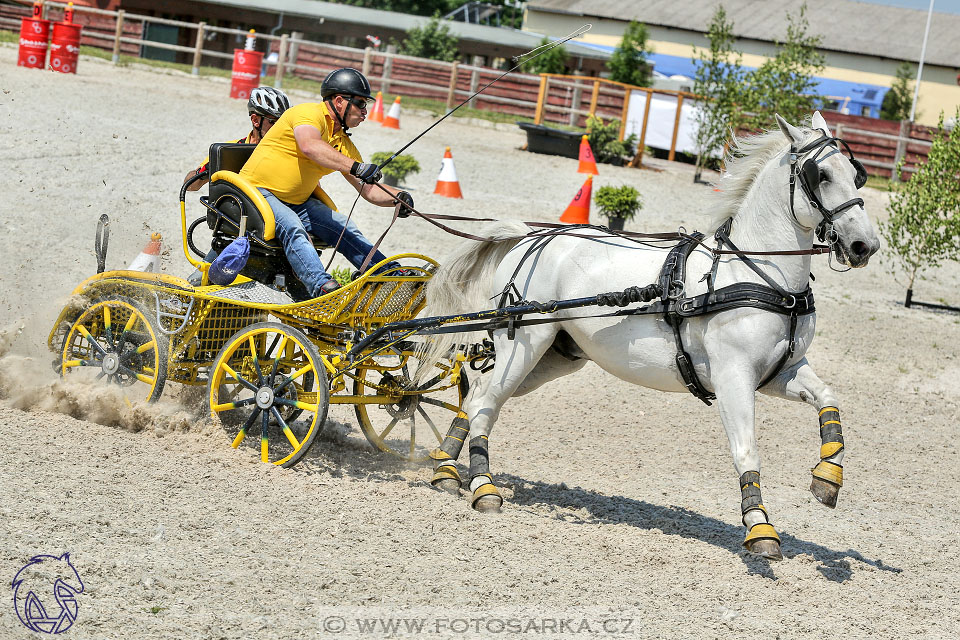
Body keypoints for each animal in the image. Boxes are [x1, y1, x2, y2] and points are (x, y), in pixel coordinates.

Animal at [416, 111, 880, 560]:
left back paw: (445, 470)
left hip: (553, 357)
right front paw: (760, 527)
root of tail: (532, 236)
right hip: (523, 347)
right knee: (484, 406)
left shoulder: (782, 372)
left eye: (856, 175)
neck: (755, 274)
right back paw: (483, 489)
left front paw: (828, 479)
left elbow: (829, 399)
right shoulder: (734, 377)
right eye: (821, 175)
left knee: (478, 396)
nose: (865, 246)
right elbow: (746, 449)